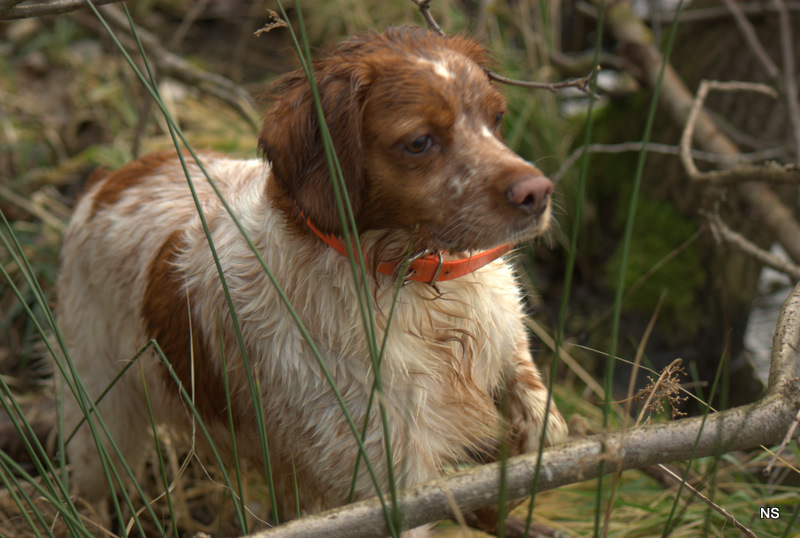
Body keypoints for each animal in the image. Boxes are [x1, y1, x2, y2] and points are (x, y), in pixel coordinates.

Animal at [56, 26, 564, 532]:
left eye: (496, 118)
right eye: (419, 142)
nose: (537, 193)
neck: (413, 284)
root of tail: (107, 181)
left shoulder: (505, 340)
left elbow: (545, 424)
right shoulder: (387, 474)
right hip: (100, 420)